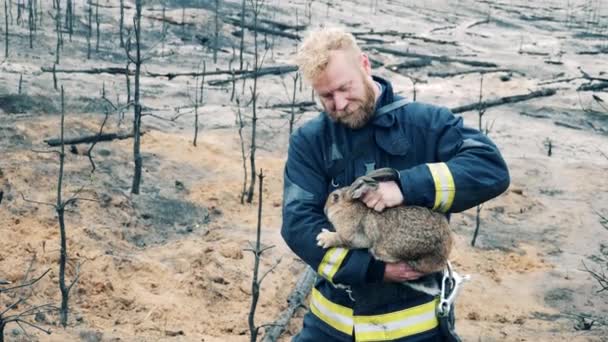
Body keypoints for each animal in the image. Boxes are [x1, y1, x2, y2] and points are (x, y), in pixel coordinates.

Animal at [318, 168, 452, 294]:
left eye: (335, 197)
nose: (324, 209)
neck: (347, 207)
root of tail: (444, 251)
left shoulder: (353, 237)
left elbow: (340, 238)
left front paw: (323, 238)